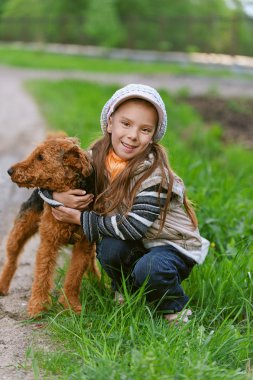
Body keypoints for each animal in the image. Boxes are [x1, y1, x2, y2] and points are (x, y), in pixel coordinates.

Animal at [0, 135, 100, 316]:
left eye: (40, 157)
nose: (10, 171)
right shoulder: (49, 241)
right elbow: (42, 274)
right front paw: (37, 307)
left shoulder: (83, 245)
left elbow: (74, 277)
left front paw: (71, 306)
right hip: (20, 230)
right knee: (12, 259)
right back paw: (2, 287)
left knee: (91, 263)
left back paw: (99, 284)